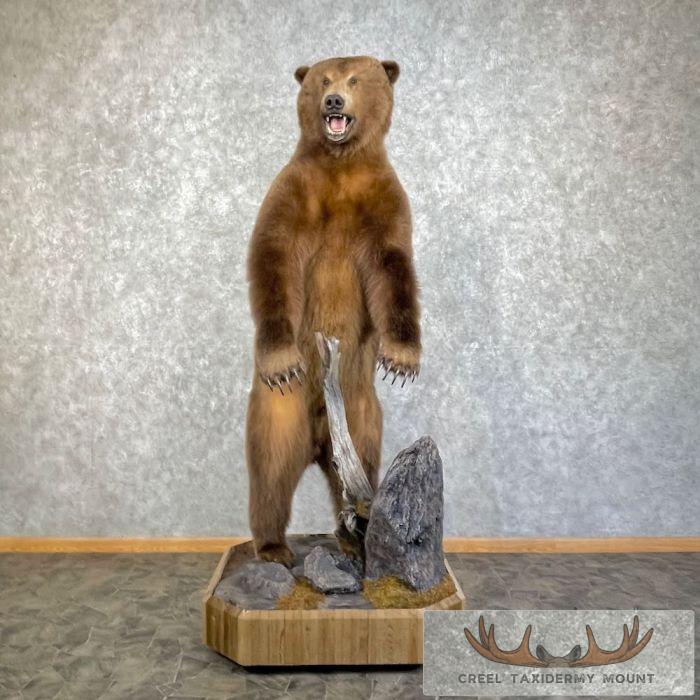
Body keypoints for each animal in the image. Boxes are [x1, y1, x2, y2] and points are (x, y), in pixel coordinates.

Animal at [245, 56, 421, 567]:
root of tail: (322, 438)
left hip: (360, 412)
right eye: (324, 78)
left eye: (355, 78)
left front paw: (400, 359)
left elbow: (393, 272)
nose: (333, 102)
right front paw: (280, 360)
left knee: (362, 461)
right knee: (270, 468)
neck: (341, 168)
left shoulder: (385, 203)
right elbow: (273, 259)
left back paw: (352, 531)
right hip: (281, 411)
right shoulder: (293, 193)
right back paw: (273, 546)